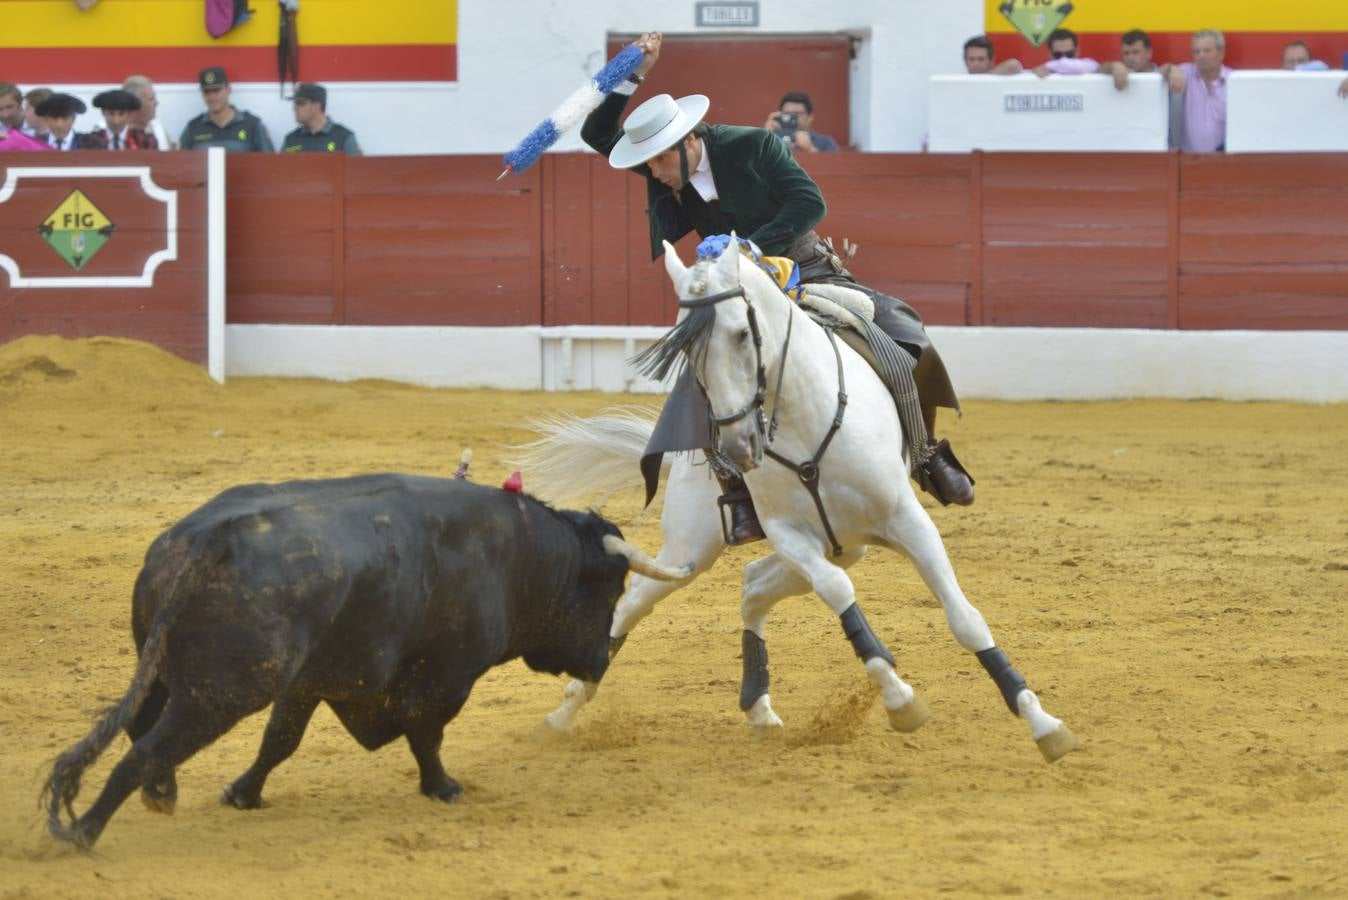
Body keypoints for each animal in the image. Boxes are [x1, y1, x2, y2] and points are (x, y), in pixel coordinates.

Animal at [42, 474, 684, 846]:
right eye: (609, 589)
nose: (601, 662)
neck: (521, 555)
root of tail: (207, 540)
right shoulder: (446, 678)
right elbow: (426, 735)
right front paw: (443, 788)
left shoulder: (309, 682)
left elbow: (280, 741)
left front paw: (243, 794)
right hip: (219, 693)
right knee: (147, 746)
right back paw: (86, 831)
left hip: (163, 670)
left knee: (141, 728)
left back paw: (160, 794)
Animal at [520, 237, 1078, 759]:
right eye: (687, 351)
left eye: (742, 333)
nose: (737, 448)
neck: (802, 418)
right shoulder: (790, 534)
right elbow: (836, 591)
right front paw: (899, 698)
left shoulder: (908, 520)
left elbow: (965, 619)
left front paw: (1043, 723)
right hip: (692, 547)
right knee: (637, 601)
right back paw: (563, 714)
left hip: (846, 543)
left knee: (751, 585)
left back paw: (759, 708)